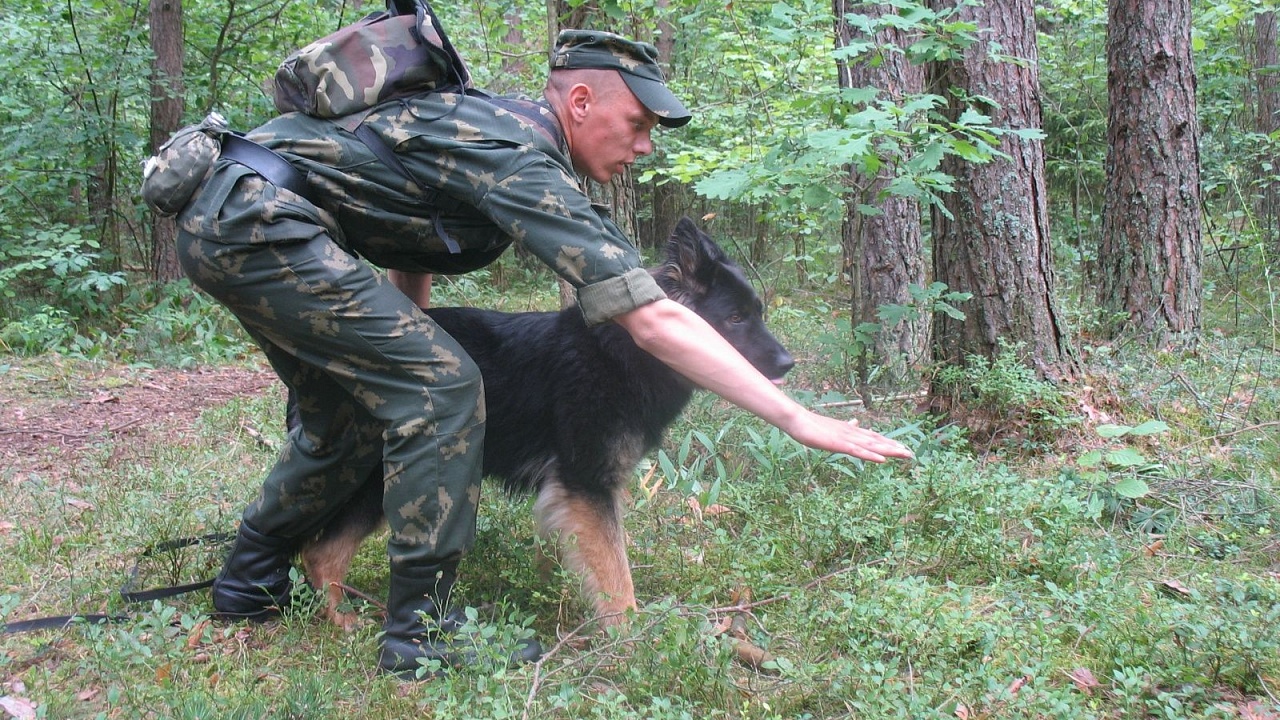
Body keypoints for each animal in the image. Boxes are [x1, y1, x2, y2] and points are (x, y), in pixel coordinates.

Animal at [304, 219, 793, 627]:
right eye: (735, 318)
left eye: (759, 312)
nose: (788, 363)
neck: (627, 354)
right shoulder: (587, 484)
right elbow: (615, 573)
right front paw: (632, 638)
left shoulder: (571, 494)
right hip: (383, 478)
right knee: (321, 551)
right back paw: (344, 621)